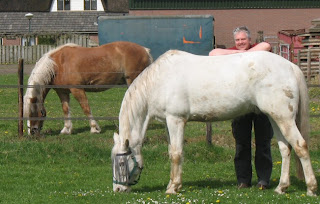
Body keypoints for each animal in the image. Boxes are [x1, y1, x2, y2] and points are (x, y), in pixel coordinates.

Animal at [23, 40, 152, 135]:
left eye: (33, 112)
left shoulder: (77, 89)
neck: (57, 65)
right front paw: (66, 129)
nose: (32, 132)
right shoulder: (63, 92)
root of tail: (144, 50)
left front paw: (94, 128)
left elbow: (86, 108)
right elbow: (65, 109)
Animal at [112, 49, 318, 196]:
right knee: (286, 149)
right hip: (276, 117)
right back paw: (281, 187)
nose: (118, 189)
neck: (159, 81)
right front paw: (173, 184)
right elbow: (172, 152)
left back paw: (311, 188)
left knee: (300, 146)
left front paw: (173, 188)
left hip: (284, 118)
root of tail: (291, 66)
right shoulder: (167, 122)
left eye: (121, 163)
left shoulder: (176, 120)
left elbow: (177, 154)